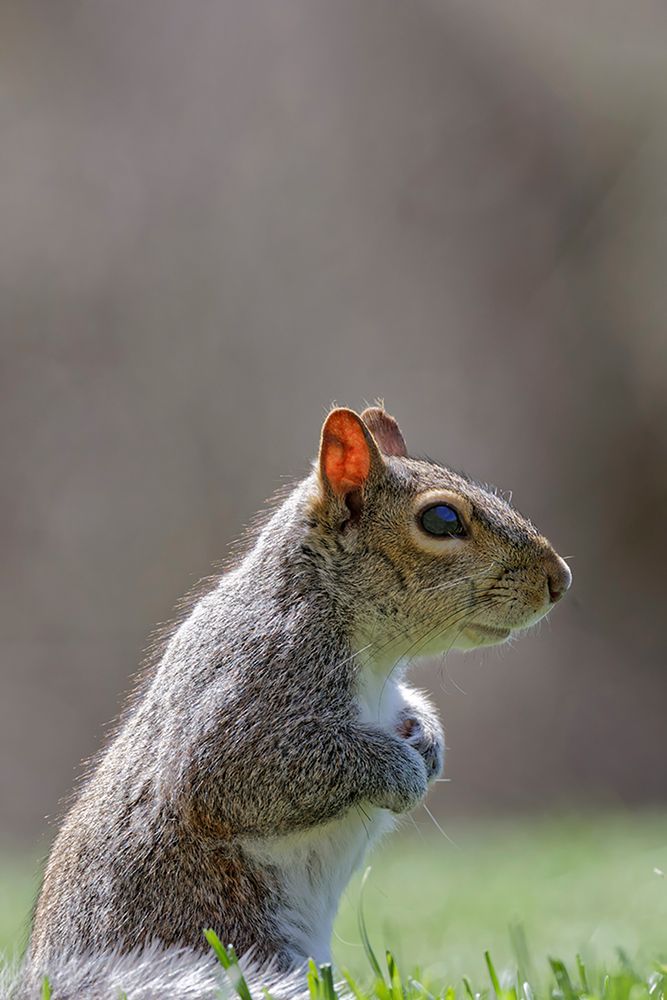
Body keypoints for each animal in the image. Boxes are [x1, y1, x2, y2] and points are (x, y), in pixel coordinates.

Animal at [15, 404, 571, 1000]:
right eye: (442, 520)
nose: (560, 579)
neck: (369, 650)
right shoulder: (255, 675)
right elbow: (225, 776)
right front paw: (401, 772)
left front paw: (428, 740)